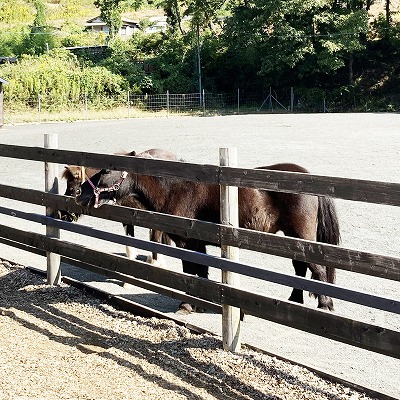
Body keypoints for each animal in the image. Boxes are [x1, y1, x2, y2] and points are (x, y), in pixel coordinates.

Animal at [76, 159, 340, 312]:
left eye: (106, 171)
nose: (80, 192)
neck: (175, 189)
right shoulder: (197, 243)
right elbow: (201, 272)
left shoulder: (187, 242)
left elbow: (192, 271)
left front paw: (187, 304)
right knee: (300, 268)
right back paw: (295, 300)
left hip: (301, 237)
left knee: (316, 269)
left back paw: (325, 305)